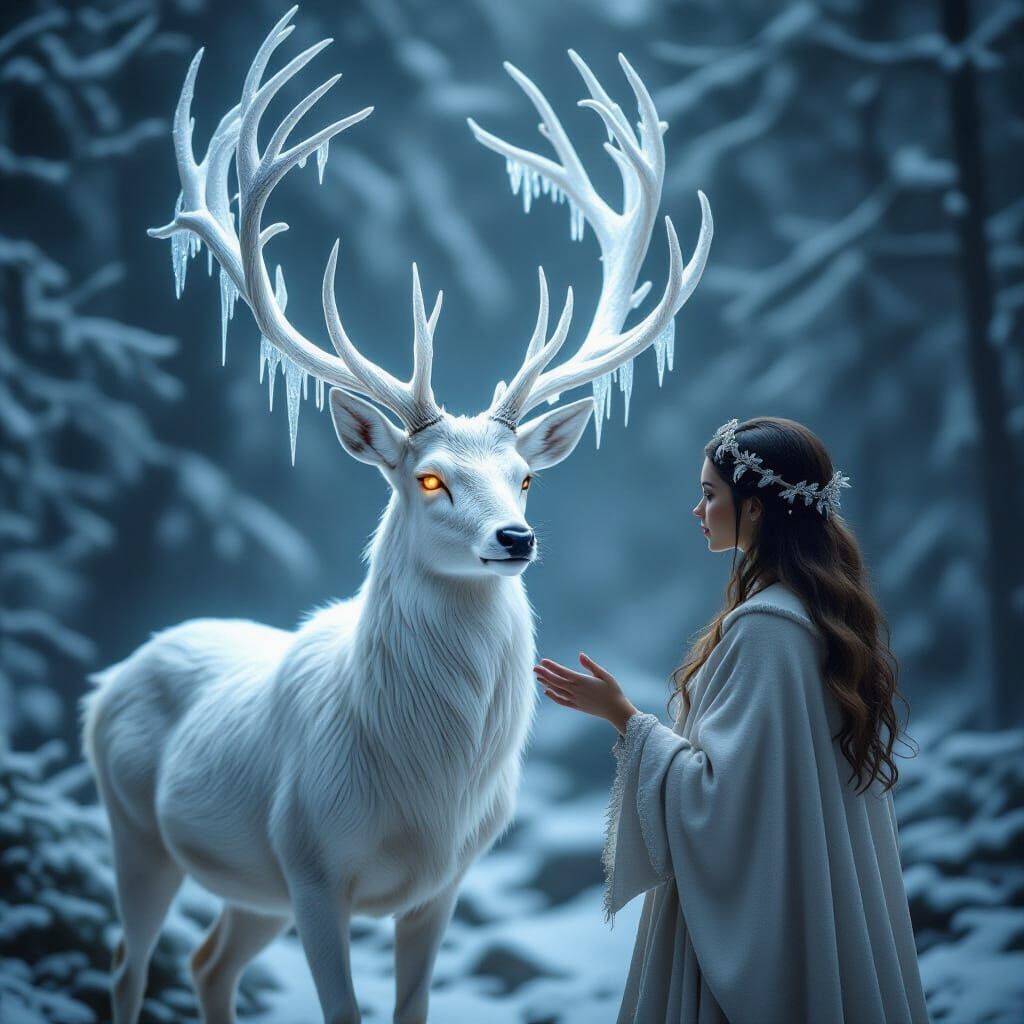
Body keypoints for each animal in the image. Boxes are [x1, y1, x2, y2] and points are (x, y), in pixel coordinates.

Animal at [79, 7, 712, 1024]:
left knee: (209, 963)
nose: (515, 538)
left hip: (247, 888)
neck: (422, 794)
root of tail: (108, 679)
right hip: (136, 828)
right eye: (429, 480)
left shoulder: (441, 885)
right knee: (128, 964)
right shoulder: (310, 863)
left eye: (526, 480)